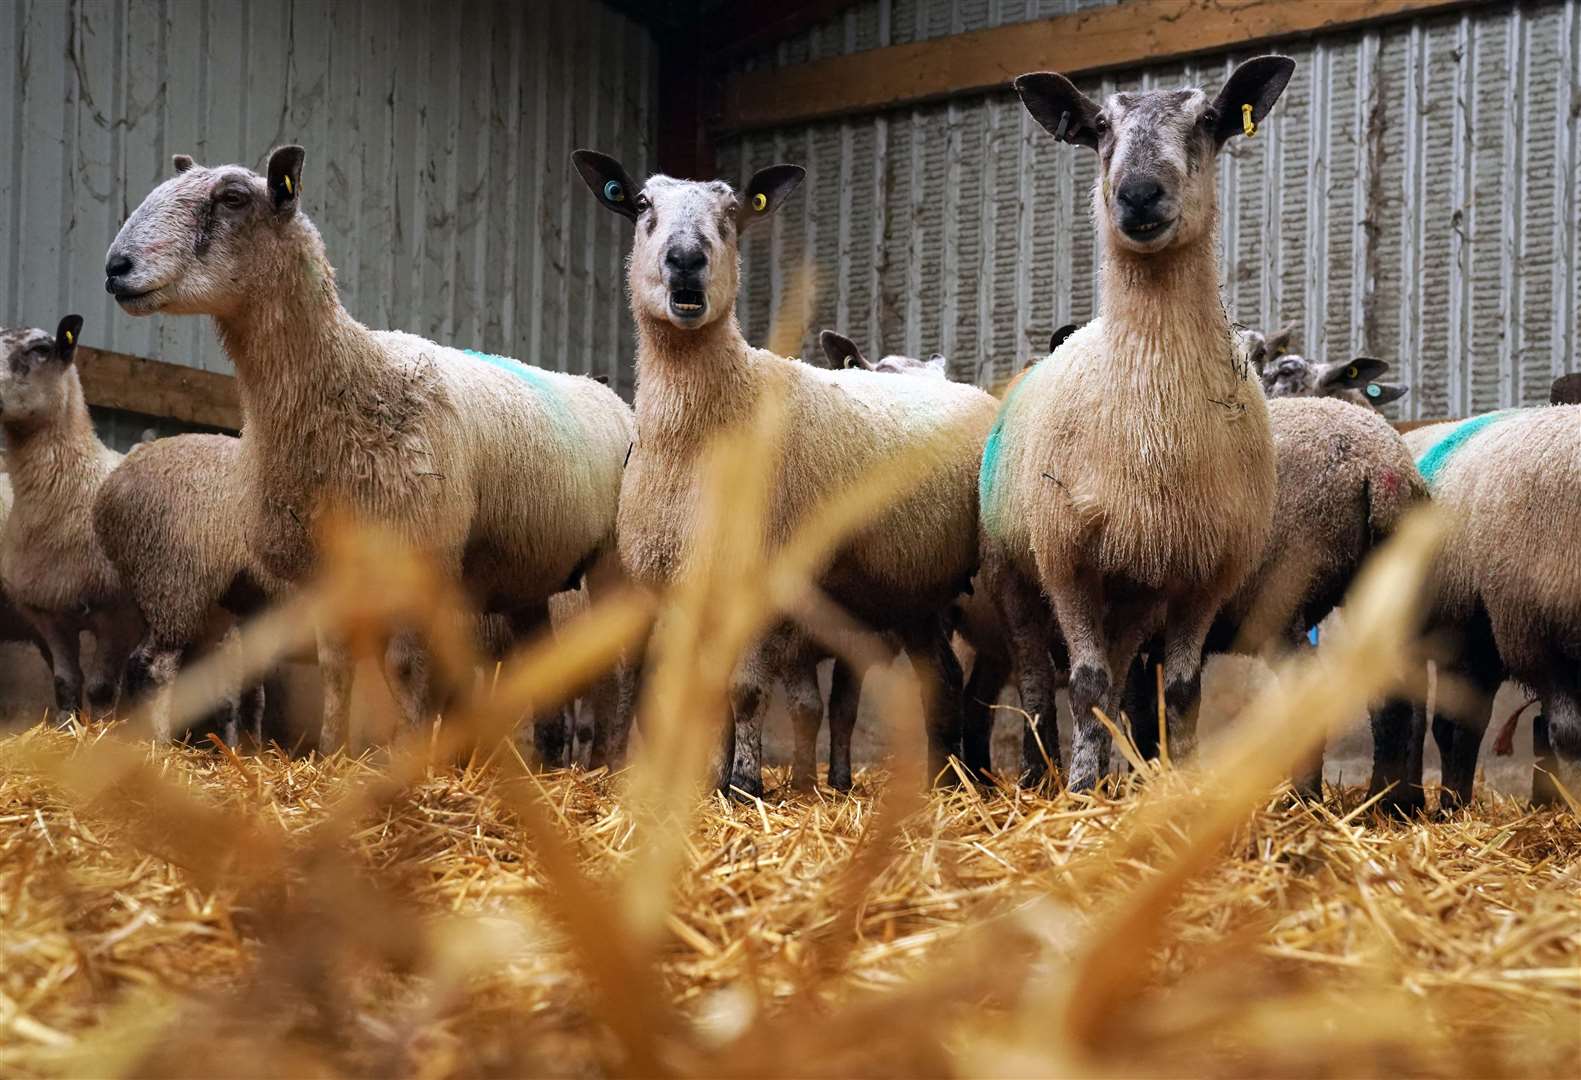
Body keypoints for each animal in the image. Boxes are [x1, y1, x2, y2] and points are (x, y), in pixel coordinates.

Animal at [105, 147, 638, 755]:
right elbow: (337, 666)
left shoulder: (418, 560)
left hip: (611, 561)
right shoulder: (326, 572)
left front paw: (408, 756)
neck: (355, 382)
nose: (115, 267)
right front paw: (333, 754)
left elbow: (406, 669)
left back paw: (609, 765)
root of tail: (606, 392)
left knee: (620, 670)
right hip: (529, 570)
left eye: (234, 198)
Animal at [575, 150, 992, 793]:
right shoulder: (677, 582)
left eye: (733, 213)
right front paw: (713, 783)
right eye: (642, 204)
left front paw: (747, 786)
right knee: (942, 679)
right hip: (914, 589)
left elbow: (745, 691)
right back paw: (943, 783)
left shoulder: (757, 576)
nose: (686, 259)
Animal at [986, 59, 1296, 790]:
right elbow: (1085, 684)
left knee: (1123, 665)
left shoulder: (1206, 572)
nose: (1138, 194)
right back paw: (1039, 774)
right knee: (1038, 680)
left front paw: (1179, 782)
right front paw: (1077, 792)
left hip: (1134, 585)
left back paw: (1112, 771)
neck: (1152, 415)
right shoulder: (1065, 557)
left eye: (1208, 120)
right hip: (1013, 571)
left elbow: (1178, 691)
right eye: (1099, 126)